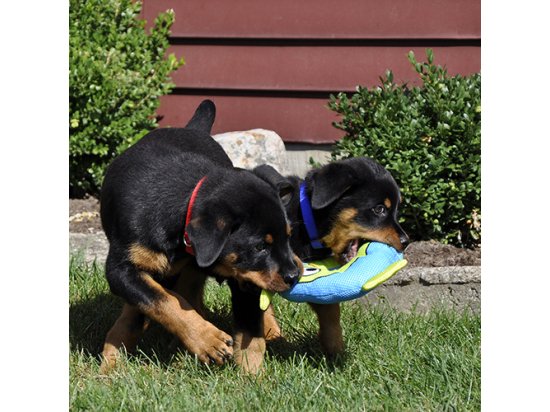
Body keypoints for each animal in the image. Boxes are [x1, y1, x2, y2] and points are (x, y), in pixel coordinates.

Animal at [101, 100, 304, 374]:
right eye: (260, 246)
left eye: (288, 237)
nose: (294, 276)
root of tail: (192, 127)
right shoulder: (121, 269)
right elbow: (162, 300)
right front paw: (208, 341)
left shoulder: (244, 276)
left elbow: (250, 332)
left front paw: (252, 377)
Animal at [254, 158, 410, 354]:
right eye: (379, 209)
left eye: (397, 209)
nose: (406, 241)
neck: (304, 223)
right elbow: (261, 307)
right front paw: (273, 337)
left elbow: (330, 309)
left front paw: (335, 349)